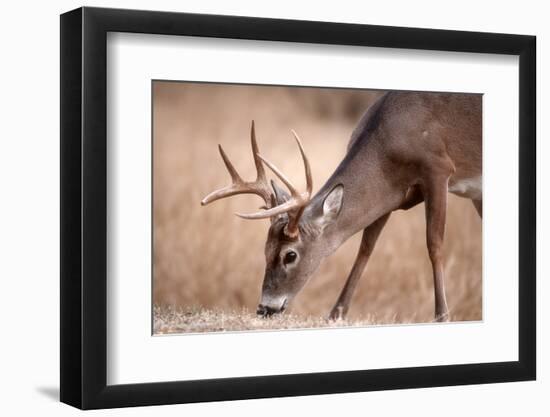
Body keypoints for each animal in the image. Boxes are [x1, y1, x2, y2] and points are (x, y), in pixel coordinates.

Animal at [203, 92, 484, 322]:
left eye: (290, 255)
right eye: (266, 250)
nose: (265, 308)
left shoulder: (438, 168)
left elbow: (434, 243)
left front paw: (442, 315)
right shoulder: (389, 195)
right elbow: (365, 248)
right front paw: (336, 313)